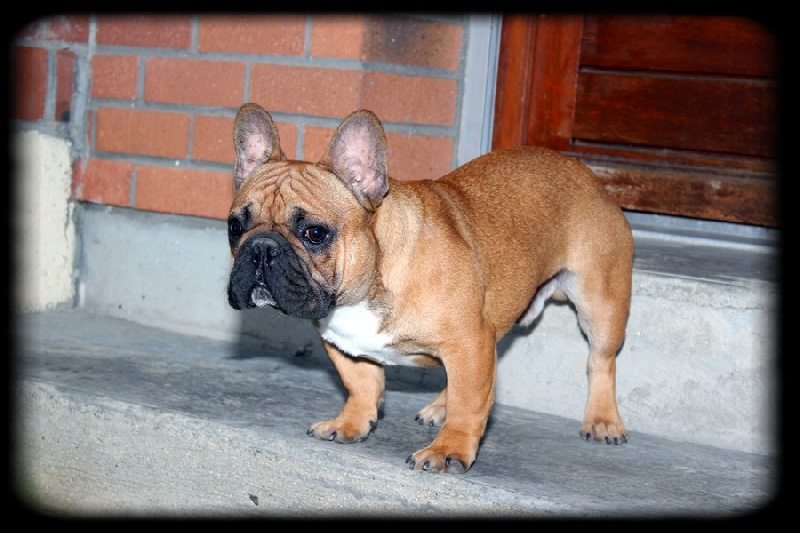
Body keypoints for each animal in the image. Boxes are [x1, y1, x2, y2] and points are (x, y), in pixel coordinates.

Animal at [226, 103, 633, 473]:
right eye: (234, 226)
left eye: (314, 233)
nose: (261, 249)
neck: (369, 286)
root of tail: (587, 175)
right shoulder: (345, 344)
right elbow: (361, 384)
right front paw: (351, 423)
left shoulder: (469, 340)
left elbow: (470, 402)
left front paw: (449, 450)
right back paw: (440, 404)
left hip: (600, 302)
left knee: (601, 361)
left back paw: (603, 420)